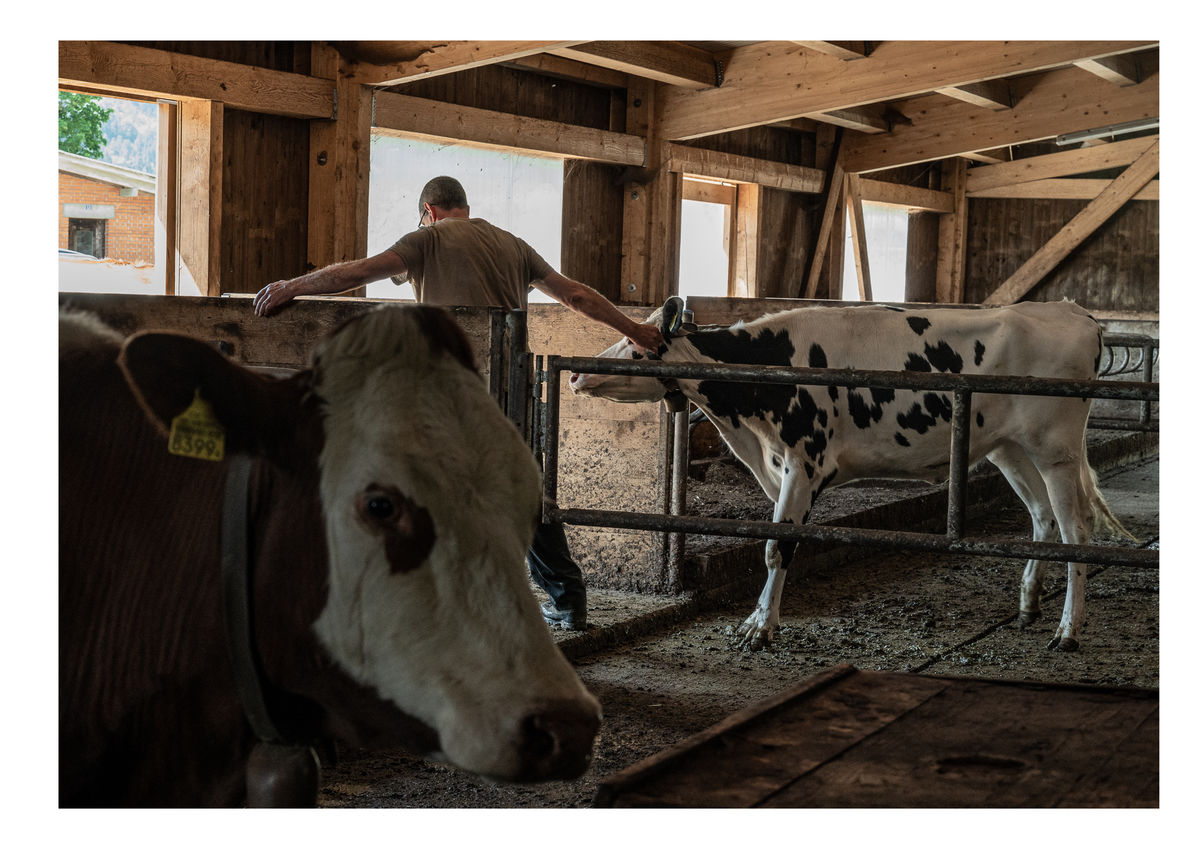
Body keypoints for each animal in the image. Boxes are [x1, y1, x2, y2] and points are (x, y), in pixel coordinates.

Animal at [570, 299, 1133, 653]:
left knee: (1076, 531)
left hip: (1055, 448)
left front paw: (760, 627)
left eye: (636, 346)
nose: (575, 372)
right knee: (1042, 518)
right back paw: (1029, 606)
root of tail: (1071, 310)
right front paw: (759, 620)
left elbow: (777, 547)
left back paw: (1068, 630)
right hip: (1007, 448)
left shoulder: (804, 462)